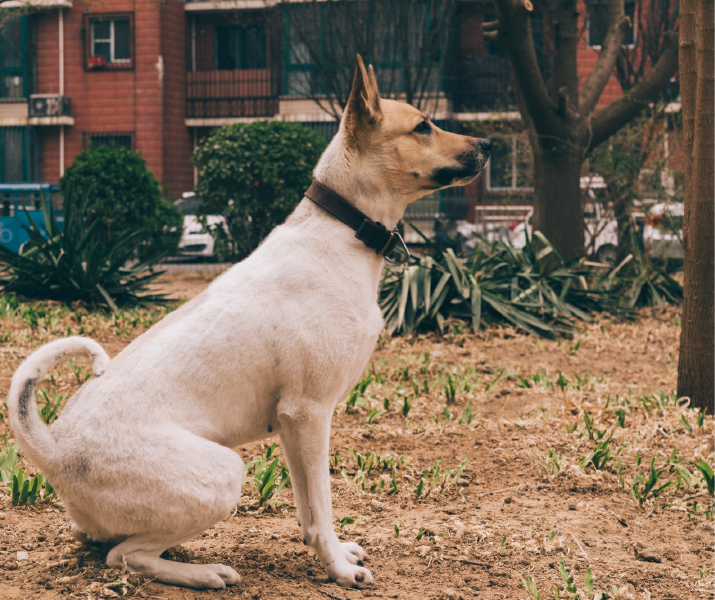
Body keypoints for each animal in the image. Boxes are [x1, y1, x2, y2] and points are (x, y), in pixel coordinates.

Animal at [8, 56, 492, 592]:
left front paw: (332, 552)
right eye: (423, 127)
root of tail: (54, 451)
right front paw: (340, 569)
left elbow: (308, 508)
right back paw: (202, 572)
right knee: (126, 557)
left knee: (104, 543)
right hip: (224, 473)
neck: (340, 232)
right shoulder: (310, 413)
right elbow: (322, 507)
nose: (489, 145)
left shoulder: (293, 425)